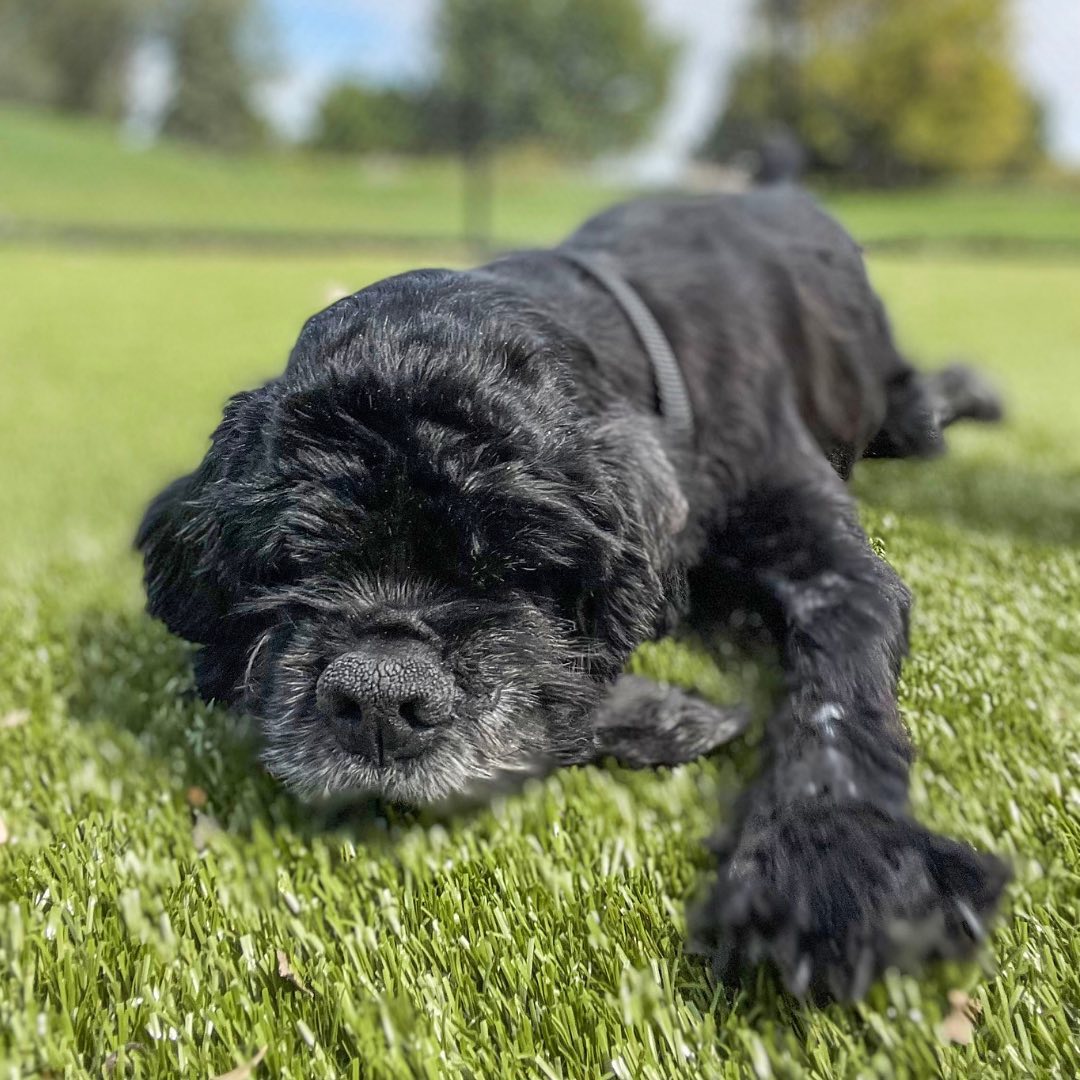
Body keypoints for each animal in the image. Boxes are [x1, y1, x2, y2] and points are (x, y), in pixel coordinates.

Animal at [139, 187, 1006, 1002]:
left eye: (519, 559)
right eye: (295, 558)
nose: (380, 694)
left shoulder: (831, 569)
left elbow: (833, 699)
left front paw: (831, 859)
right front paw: (669, 714)